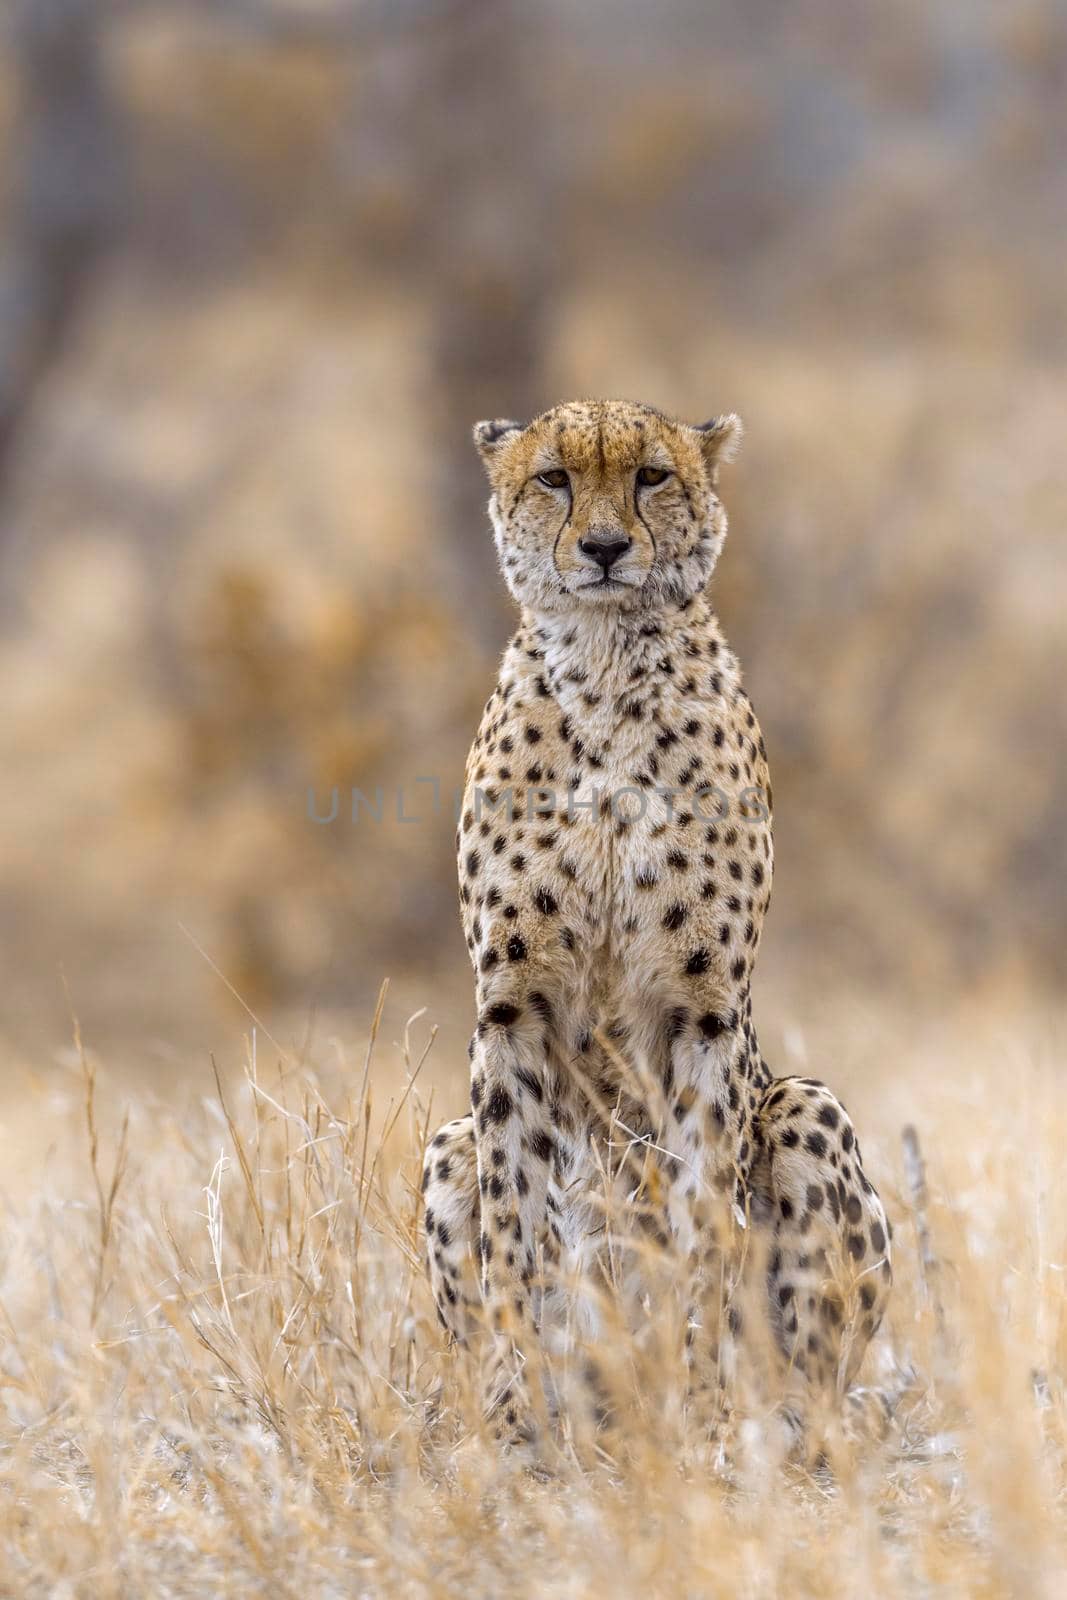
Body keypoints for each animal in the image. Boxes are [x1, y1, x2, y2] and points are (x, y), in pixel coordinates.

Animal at [422, 403, 889, 1452]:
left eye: (650, 476)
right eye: (553, 478)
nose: (603, 548)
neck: (602, 665)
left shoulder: (702, 1011)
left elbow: (702, 1230)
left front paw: (704, 1416)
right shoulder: (508, 1008)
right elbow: (513, 1234)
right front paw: (508, 1419)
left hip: (804, 1104)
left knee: (821, 1377)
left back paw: (774, 1421)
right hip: (446, 1142)